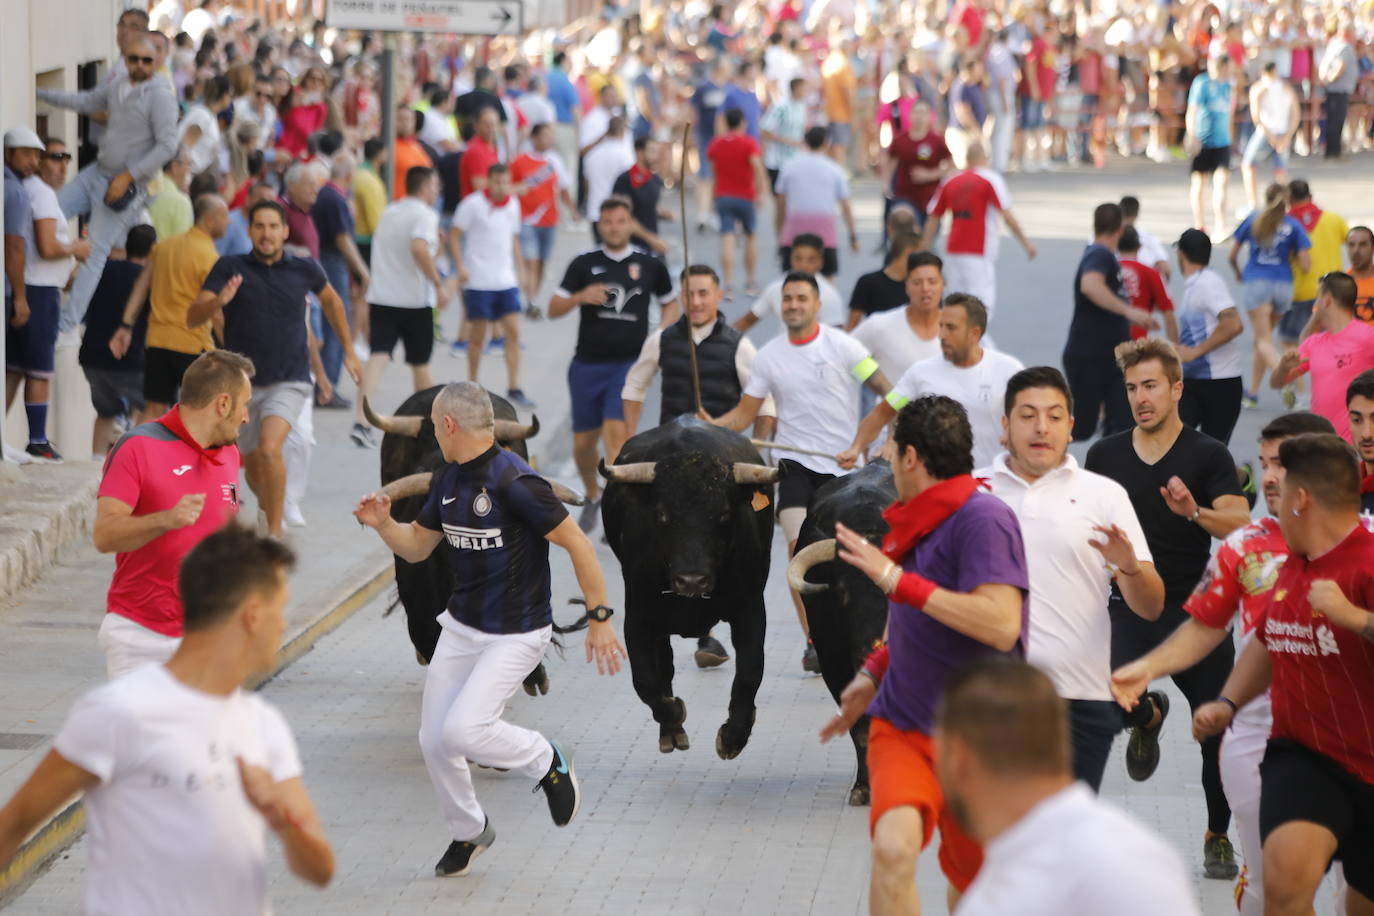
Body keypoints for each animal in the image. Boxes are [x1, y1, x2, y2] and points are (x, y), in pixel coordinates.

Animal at [599, 420, 780, 758]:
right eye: (661, 514)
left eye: (723, 514)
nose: (692, 580)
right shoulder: (638, 617)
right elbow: (645, 681)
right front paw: (674, 716)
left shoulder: (750, 608)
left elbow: (750, 670)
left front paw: (734, 735)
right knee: (663, 667)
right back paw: (671, 732)